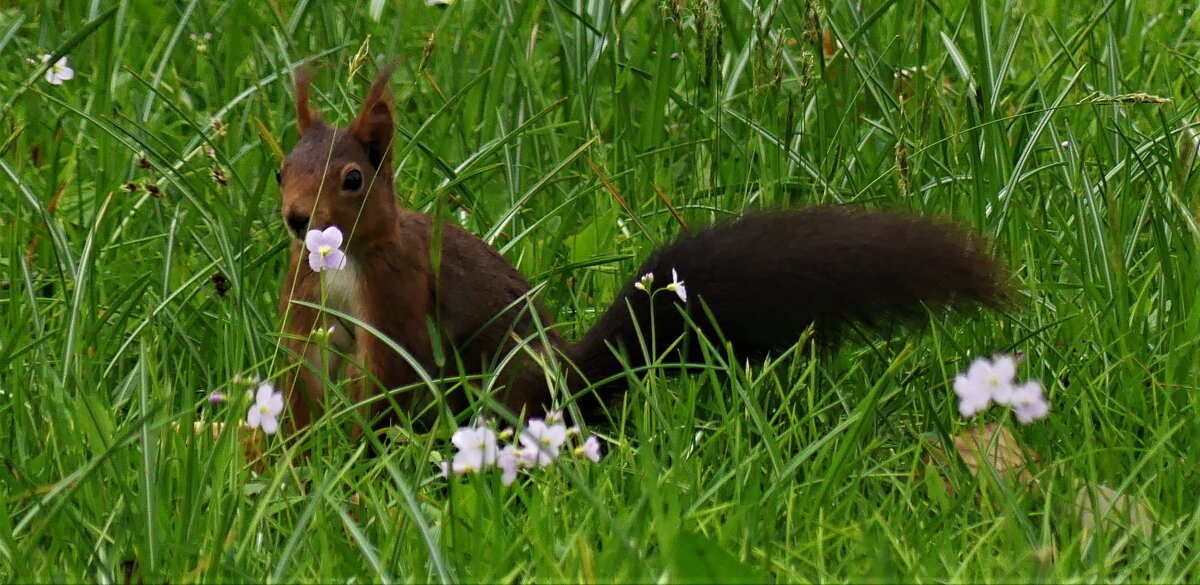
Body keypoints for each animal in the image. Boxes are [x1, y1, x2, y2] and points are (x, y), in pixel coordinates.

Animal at [276, 68, 1008, 431]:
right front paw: (296, 452)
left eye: (352, 178)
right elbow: (302, 369)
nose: (296, 220)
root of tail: (568, 383)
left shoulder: (398, 288)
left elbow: (393, 369)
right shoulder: (307, 297)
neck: (343, 265)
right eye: (281, 168)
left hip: (507, 384)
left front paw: (353, 448)